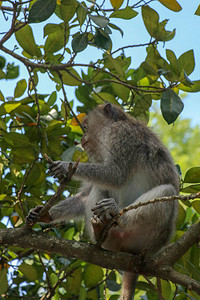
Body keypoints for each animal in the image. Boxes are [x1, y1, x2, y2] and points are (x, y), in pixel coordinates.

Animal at [27, 103, 180, 300]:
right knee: (99, 189)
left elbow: (116, 174)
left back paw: (117, 215)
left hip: (151, 237)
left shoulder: (120, 135)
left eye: (85, 126)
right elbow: (86, 194)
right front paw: (44, 214)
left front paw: (64, 166)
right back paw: (100, 231)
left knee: (166, 191)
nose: (82, 138)